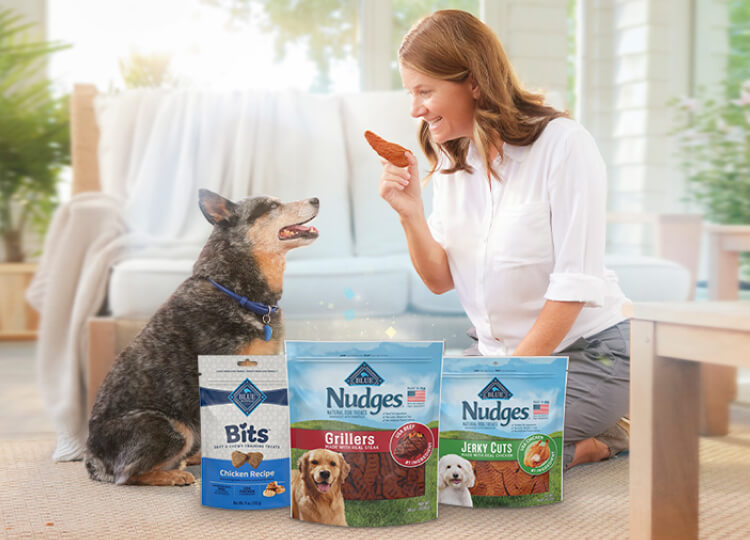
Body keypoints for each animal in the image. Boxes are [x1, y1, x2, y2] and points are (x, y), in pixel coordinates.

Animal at [85, 190, 320, 486]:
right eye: (270, 206)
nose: (316, 199)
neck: (236, 292)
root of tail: (91, 460)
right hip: (172, 426)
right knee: (127, 475)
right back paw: (175, 474)